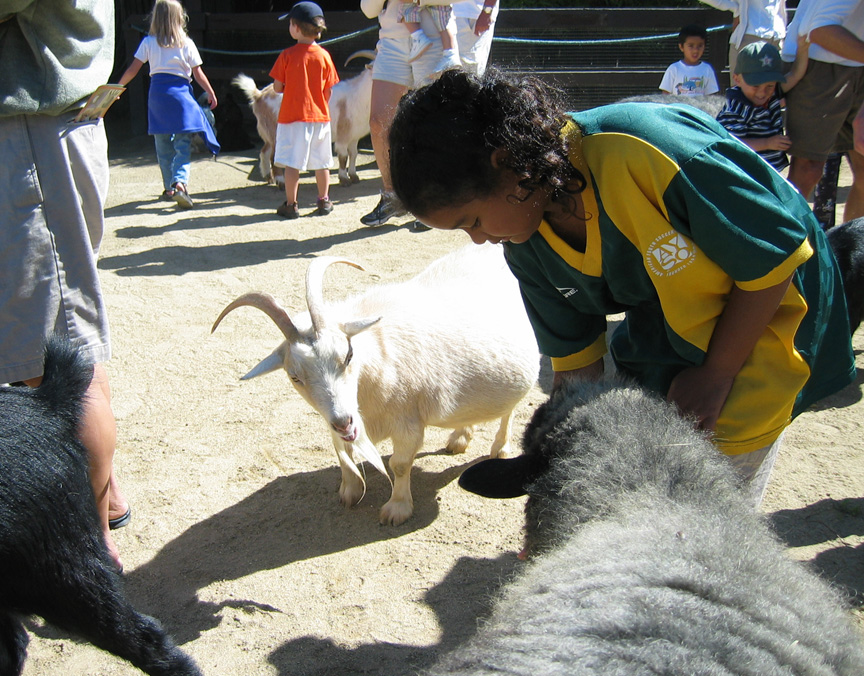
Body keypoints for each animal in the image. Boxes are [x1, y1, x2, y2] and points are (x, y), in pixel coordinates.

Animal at [213, 244, 540, 528]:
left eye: (348, 354)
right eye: (295, 377)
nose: (344, 421)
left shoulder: (408, 422)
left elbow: (400, 463)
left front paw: (397, 509)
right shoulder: (338, 419)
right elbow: (341, 453)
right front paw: (350, 491)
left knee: (510, 409)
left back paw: (499, 448)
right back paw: (459, 437)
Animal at [231, 49, 372, 187]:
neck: (357, 96)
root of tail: (259, 95)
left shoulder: (354, 136)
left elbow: (353, 154)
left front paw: (354, 176)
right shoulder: (343, 137)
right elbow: (343, 157)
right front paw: (344, 179)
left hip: (268, 132)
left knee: (264, 151)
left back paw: (269, 178)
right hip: (275, 131)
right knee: (272, 156)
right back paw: (281, 182)